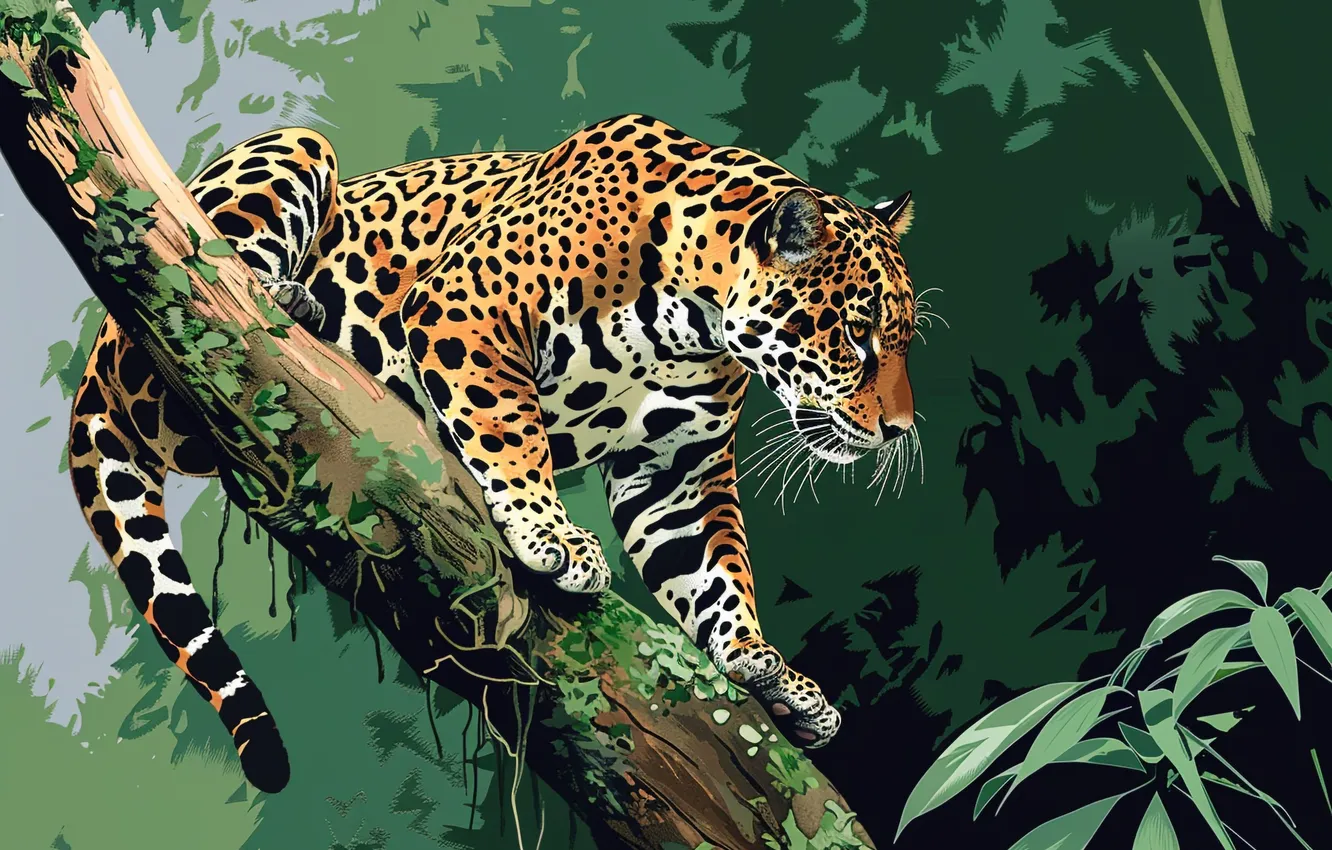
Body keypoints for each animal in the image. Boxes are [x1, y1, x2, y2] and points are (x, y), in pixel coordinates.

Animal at [68, 113, 920, 793]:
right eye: (856, 334)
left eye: (904, 338)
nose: (902, 431)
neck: (693, 323)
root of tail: (94, 365)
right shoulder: (468, 308)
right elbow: (511, 430)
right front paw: (552, 536)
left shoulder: (679, 470)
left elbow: (714, 573)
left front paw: (768, 670)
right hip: (274, 173)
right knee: (192, 318)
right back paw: (290, 303)